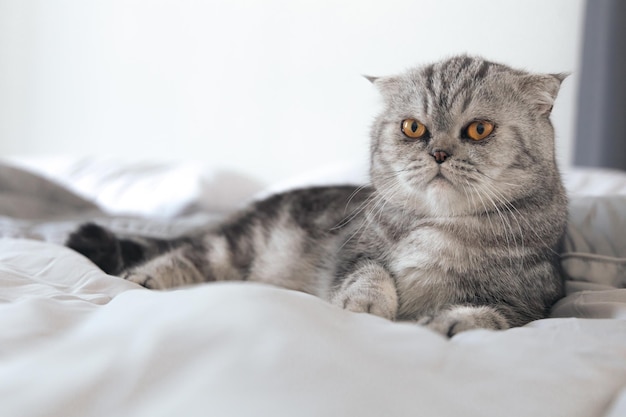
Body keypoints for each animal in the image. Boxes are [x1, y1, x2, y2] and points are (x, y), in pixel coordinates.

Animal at [67, 54, 564, 334]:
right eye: (412, 127)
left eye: (479, 129)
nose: (438, 152)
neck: (436, 223)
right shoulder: (353, 250)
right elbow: (369, 273)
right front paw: (366, 304)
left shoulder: (531, 302)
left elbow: (488, 314)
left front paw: (451, 321)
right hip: (237, 244)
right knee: (187, 254)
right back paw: (147, 278)